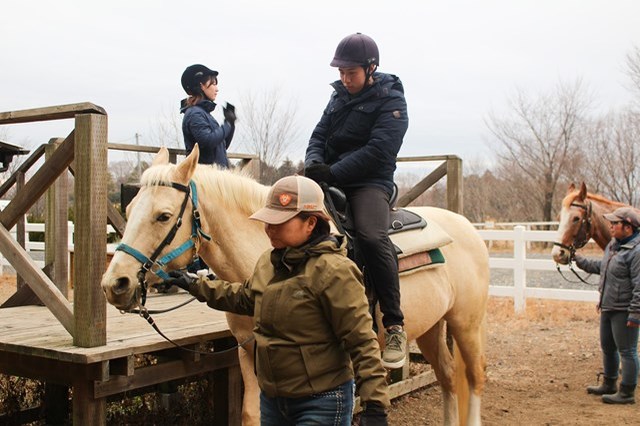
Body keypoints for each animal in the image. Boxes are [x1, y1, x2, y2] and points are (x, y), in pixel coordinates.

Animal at [101, 146, 490, 426]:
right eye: (130, 209)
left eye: (164, 216)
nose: (115, 283)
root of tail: (466, 227)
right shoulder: (249, 353)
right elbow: (252, 415)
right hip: (432, 327)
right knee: (448, 378)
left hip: (467, 324)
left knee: (474, 378)